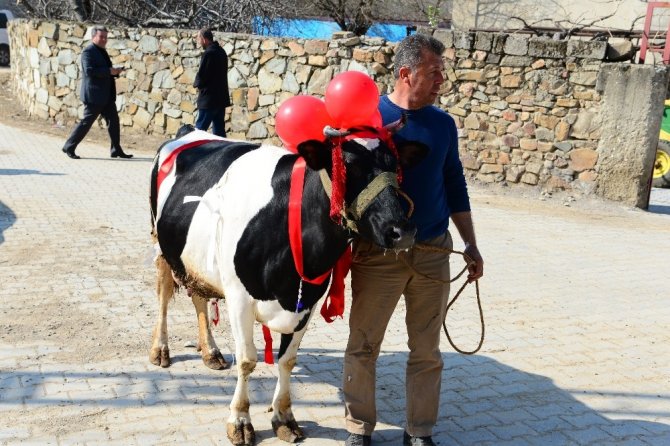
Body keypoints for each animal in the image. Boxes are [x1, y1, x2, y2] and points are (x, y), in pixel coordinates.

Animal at [150, 123, 428, 446]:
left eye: (395, 166)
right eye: (346, 166)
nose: (402, 231)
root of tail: (189, 130)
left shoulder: (307, 301)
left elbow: (287, 361)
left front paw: (283, 418)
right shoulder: (239, 297)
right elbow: (247, 360)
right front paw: (240, 421)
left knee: (198, 295)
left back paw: (211, 352)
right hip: (160, 244)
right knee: (163, 296)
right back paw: (161, 349)